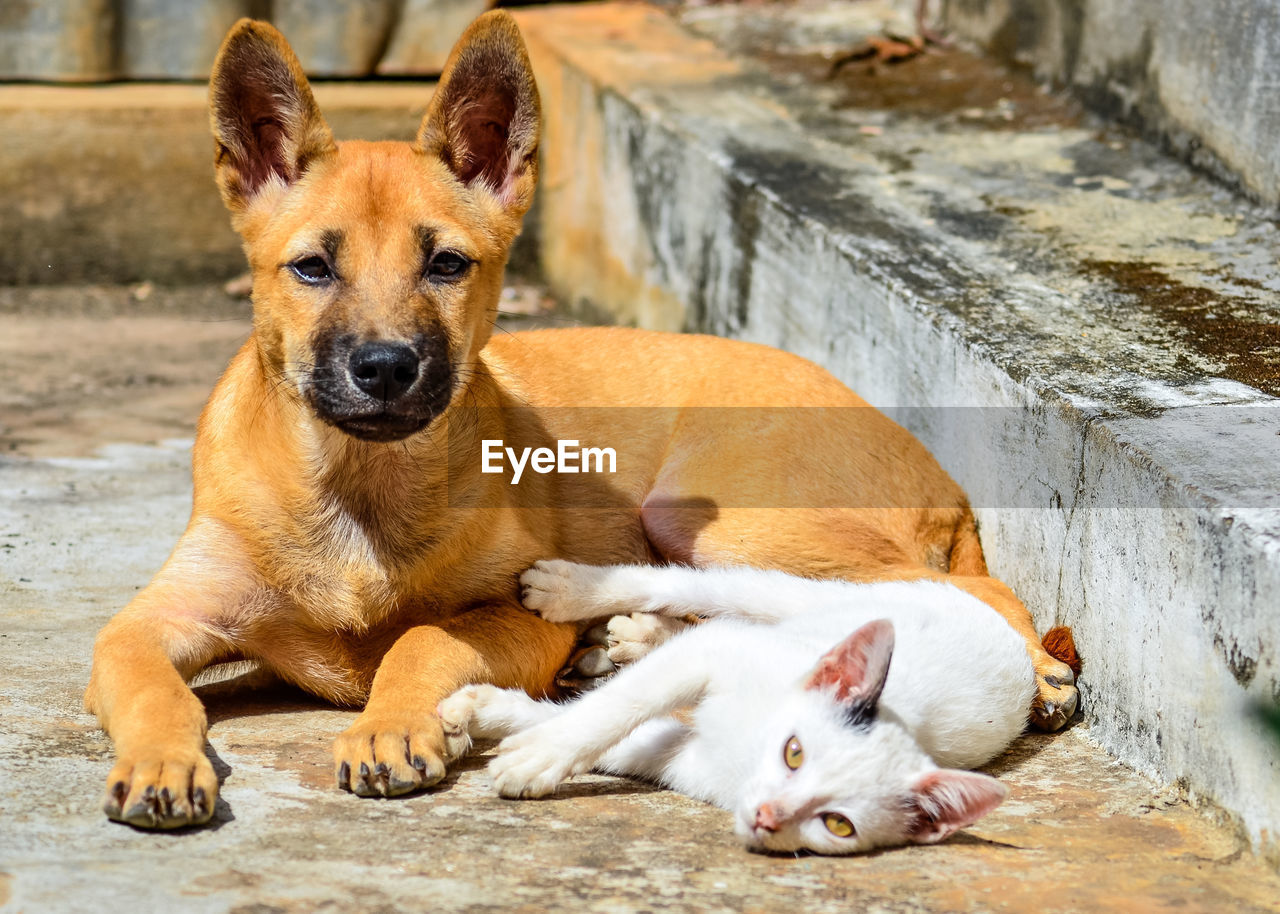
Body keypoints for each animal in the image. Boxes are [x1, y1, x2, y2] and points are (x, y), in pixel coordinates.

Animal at [440, 558, 1039, 849]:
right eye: (795, 753)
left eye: (838, 824)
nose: (769, 816)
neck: (749, 743)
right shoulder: (713, 656)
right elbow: (617, 706)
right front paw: (534, 751)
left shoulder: (678, 759)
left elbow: (621, 734)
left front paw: (498, 721)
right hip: (806, 600)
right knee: (701, 590)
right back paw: (572, 591)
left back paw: (638, 635)